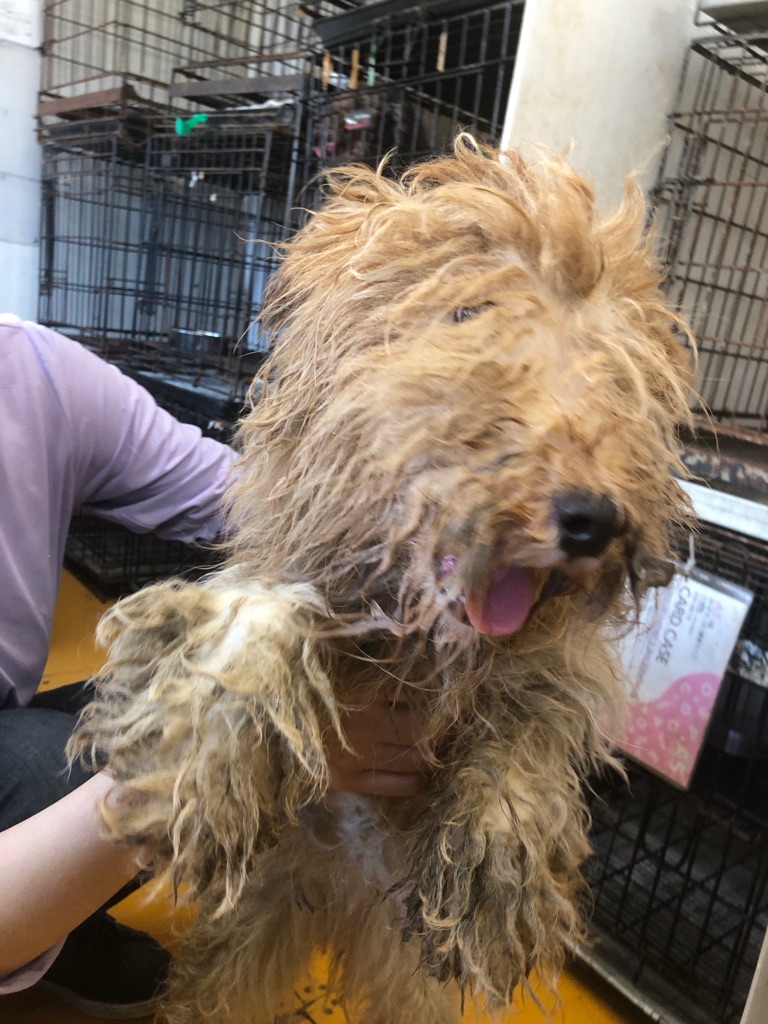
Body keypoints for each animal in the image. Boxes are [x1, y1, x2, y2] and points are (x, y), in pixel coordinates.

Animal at [71, 135, 694, 1024]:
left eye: (623, 374)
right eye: (470, 314)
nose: (593, 518)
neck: (418, 644)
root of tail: (335, 896)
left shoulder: (548, 664)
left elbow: (539, 714)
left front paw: (500, 861)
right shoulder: (273, 568)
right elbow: (259, 619)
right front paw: (205, 776)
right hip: (249, 933)